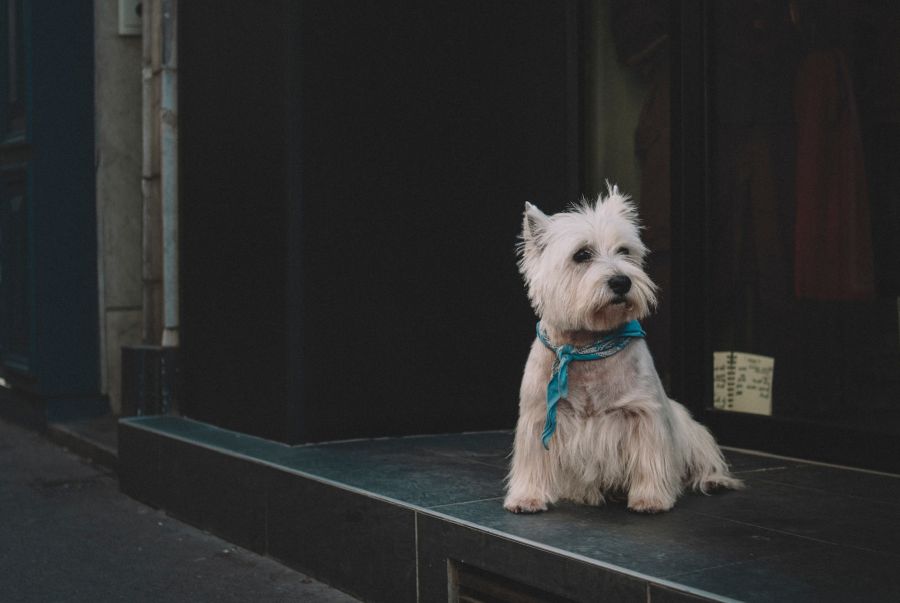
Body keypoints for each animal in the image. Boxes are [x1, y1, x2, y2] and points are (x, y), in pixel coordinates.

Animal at [502, 188, 740, 516]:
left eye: (624, 251)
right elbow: (533, 461)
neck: (587, 345)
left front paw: (650, 498)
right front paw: (527, 497)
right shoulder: (538, 415)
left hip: (689, 429)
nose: (621, 281)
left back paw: (714, 480)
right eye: (582, 255)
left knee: (704, 459)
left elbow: (650, 459)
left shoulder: (644, 413)